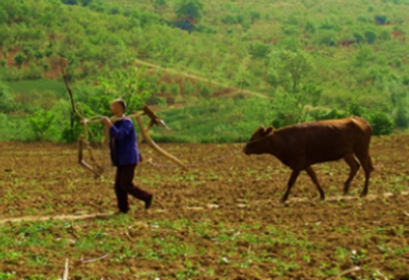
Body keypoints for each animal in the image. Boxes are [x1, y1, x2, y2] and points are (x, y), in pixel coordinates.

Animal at [244, 117, 374, 202]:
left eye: (256, 136)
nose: (244, 148)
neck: (286, 141)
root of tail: (361, 120)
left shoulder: (298, 164)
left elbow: (290, 182)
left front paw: (284, 198)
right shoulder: (305, 164)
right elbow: (314, 178)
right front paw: (322, 195)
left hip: (361, 150)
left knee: (366, 169)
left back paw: (364, 192)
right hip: (347, 153)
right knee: (355, 166)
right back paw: (345, 189)